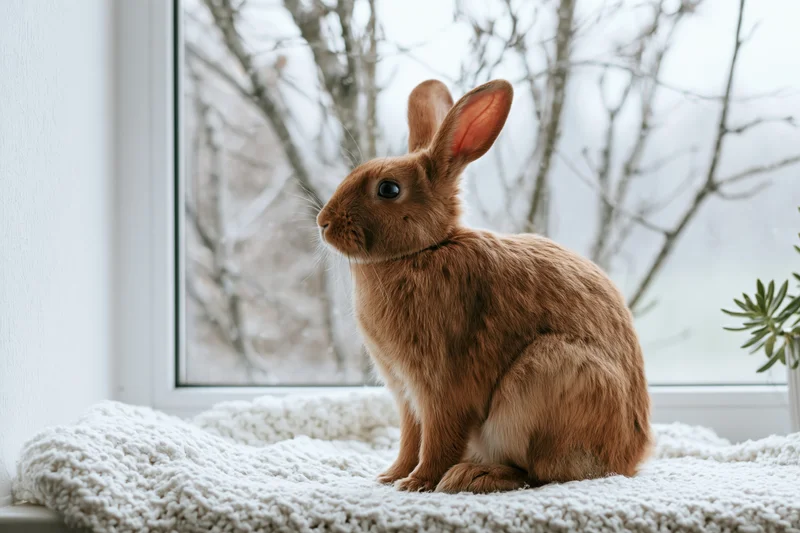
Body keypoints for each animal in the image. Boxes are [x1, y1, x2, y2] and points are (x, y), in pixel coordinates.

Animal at [315, 79, 652, 493]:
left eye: (389, 190)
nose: (323, 222)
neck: (427, 248)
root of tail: (627, 459)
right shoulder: (406, 396)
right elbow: (410, 439)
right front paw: (392, 476)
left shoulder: (442, 387)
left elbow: (438, 440)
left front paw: (417, 483)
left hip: (545, 380)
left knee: (538, 473)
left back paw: (472, 475)